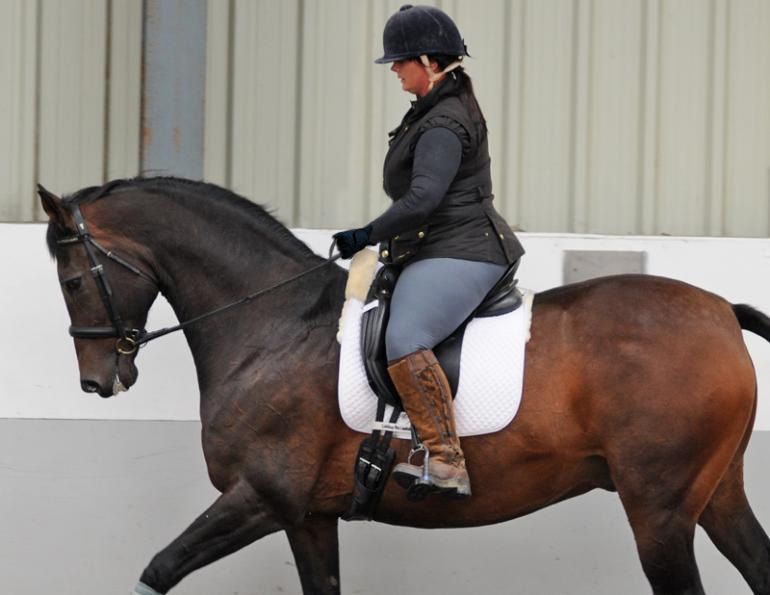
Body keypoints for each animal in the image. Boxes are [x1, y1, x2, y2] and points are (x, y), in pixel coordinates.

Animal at [39, 177, 770, 595]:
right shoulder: (307, 516)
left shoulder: (262, 494)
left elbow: (159, 568)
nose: (97, 380)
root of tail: (720, 311)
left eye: (72, 279)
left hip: (660, 510)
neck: (272, 326)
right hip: (714, 495)